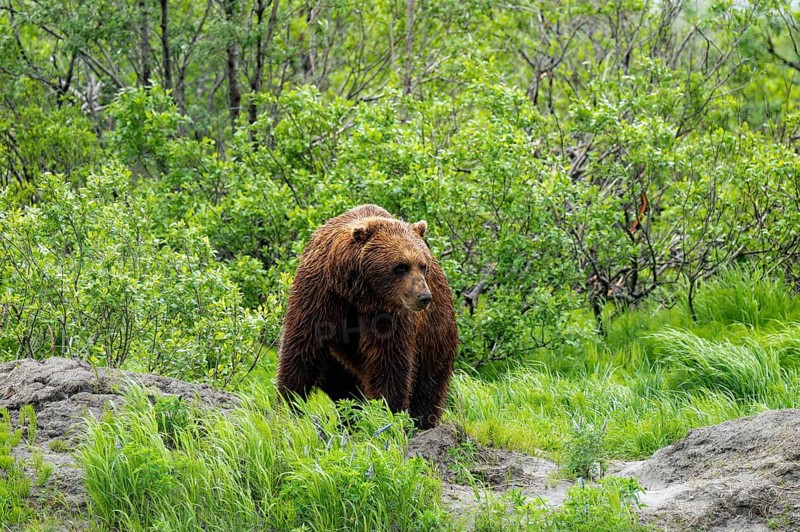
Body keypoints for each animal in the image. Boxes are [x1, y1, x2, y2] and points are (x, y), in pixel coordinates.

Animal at [276, 204, 458, 429]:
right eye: (401, 266)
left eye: (423, 265)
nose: (424, 297)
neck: (358, 293)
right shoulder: (319, 295)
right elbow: (302, 348)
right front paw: (288, 404)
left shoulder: (387, 316)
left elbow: (389, 361)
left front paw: (388, 413)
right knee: (338, 382)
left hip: (436, 332)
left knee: (429, 381)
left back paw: (422, 421)